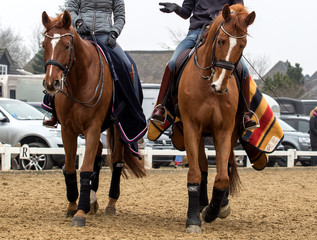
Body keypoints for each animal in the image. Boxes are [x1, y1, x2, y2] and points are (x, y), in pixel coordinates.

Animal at [41, 11, 145, 227]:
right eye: (44, 45)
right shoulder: (68, 130)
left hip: (118, 129)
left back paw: (110, 204)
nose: (51, 83)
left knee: (117, 162)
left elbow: (86, 168)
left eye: (66, 45)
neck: (80, 81)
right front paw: (73, 207)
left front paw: (80, 213)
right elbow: (70, 168)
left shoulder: (93, 127)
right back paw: (92, 200)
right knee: (98, 151)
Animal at [178, 3, 254, 232]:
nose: (219, 85)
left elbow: (222, 177)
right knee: (202, 168)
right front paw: (193, 219)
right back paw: (201, 204)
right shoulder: (192, 127)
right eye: (220, 41)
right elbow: (195, 173)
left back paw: (219, 205)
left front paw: (213, 210)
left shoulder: (224, 130)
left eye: (243, 45)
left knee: (225, 166)